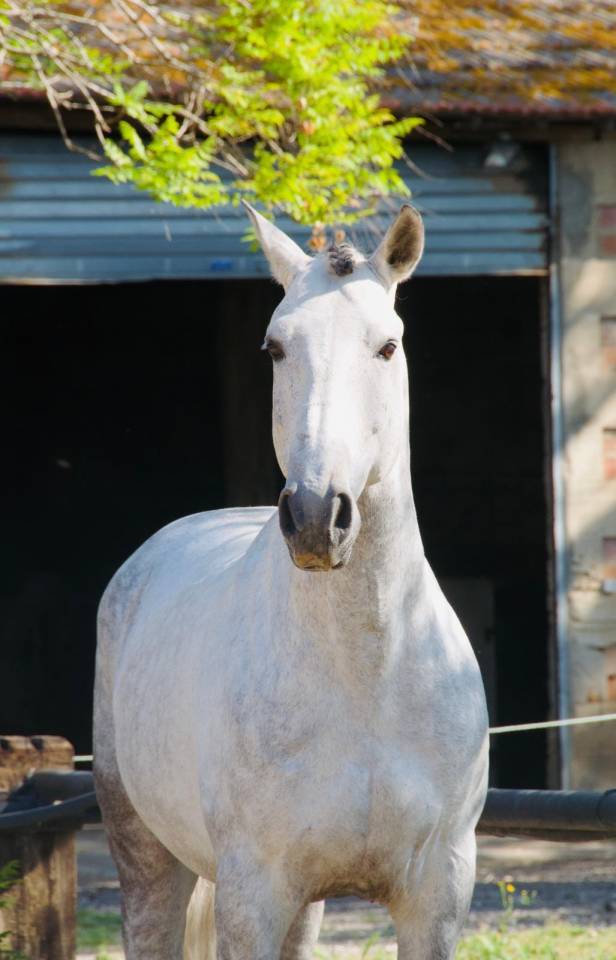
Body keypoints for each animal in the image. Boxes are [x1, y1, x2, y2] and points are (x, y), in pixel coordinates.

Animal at [94, 202, 489, 960]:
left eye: (388, 346)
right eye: (275, 348)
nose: (314, 516)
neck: (370, 676)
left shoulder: (437, 896)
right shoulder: (253, 897)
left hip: (304, 910)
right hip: (148, 862)